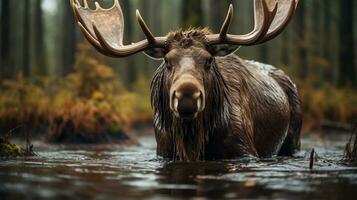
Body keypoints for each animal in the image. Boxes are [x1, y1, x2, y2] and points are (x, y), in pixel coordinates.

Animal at [71, 0, 302, 161]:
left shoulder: (244, 150)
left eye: (209, 60)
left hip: (294, 138)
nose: (187, 95)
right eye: (167, 61)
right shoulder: (163, 151)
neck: (193, 139)